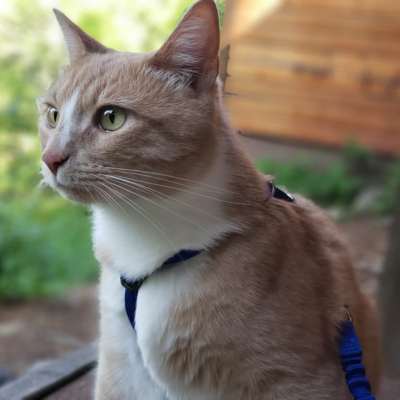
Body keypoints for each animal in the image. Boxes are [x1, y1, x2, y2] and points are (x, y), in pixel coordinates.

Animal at [38, 0, 382, 400]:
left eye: (111, 118)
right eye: (52, 114)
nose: (50, 158)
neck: (144, 244)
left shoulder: (302, 379)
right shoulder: (121, 369)